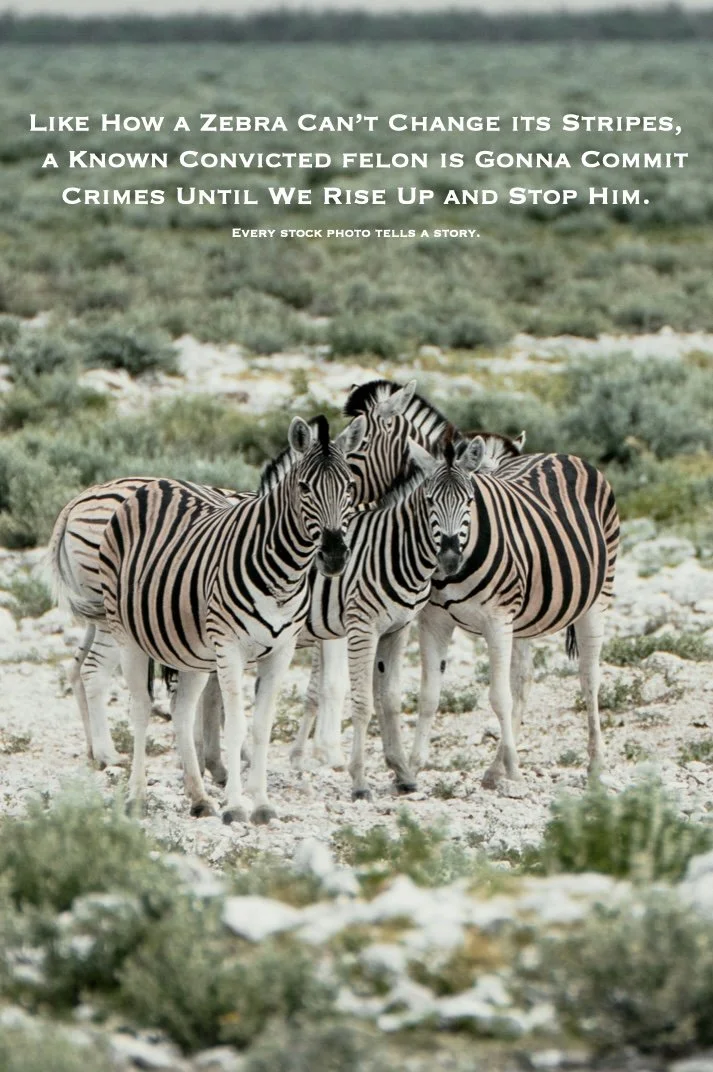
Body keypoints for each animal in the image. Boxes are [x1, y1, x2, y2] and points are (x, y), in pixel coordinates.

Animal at [96, 414, 365, 824]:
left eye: (349, 487)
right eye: (304, 488)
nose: (334, 555)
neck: (284, 574)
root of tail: (159, 483)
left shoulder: (282, 651)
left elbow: (261, 728)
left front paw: (262, 803)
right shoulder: (230, 648)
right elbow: (236, 725)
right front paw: (237, 805)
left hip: (189, 650)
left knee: (181, 712)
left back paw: (198, 797)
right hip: (126, 635)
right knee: (141, 709)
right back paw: (137, 798)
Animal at [289, 433, 485, 800]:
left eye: (468, 500)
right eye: (430, 500)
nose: (450, 558)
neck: (396, 550)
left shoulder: (398, 628)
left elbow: (391, 699)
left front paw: (403, 773)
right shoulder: (362, 627)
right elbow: (363, 703)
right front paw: (359, 781)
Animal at [409, 444, 620, 788]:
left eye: (470, 501)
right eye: (428, 501)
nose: (449, 559)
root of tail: (559, 454)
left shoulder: (497, 619)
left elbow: (499, 697)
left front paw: (515, 769)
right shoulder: (433, 621)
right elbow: (428, 697)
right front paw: (410, 768)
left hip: (597, 598)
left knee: (589, 677)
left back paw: (596, 764)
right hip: (523, 619)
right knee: (524, 680)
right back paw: (496, 768)